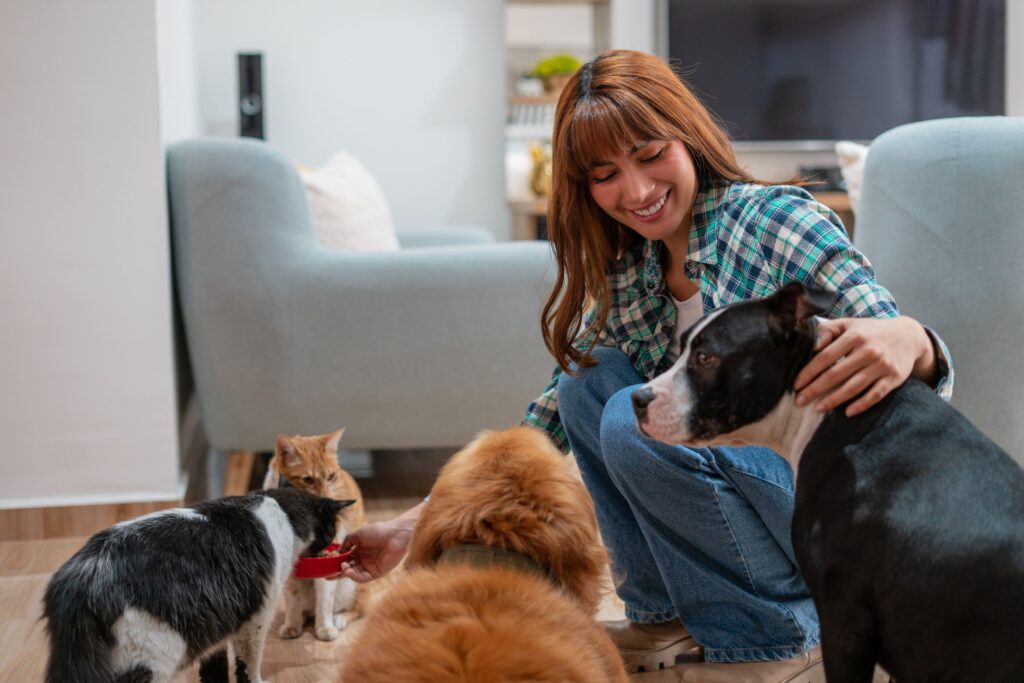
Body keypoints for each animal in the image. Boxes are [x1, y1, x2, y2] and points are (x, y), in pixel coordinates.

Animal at [41, 489, 354, 679]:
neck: (283, 513)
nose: (332, 542)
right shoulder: (254, 622)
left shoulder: (217, 628)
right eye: (330, 531)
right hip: (154, 654)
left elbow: (214, 673)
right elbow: (249, 667)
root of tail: (81, 576)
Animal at [262, 428, 366, 643]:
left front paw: (324, 628)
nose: (325, 497)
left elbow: (325, 601)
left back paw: (339, 619)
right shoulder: (290, 576)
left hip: (350, 586)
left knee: (358, 608)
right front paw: (292, 625)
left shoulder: (325, 573)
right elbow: (293, 600)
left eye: (331, 476)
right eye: (308, 480)